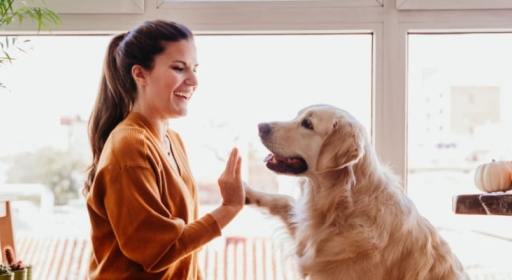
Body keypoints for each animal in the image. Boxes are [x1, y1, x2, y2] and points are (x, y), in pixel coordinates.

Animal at [244, 104, 468, 280]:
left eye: (307, 124)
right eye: (297, 115)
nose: (260, 126)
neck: (343, 205)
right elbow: (283, 200)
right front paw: (244, 190)